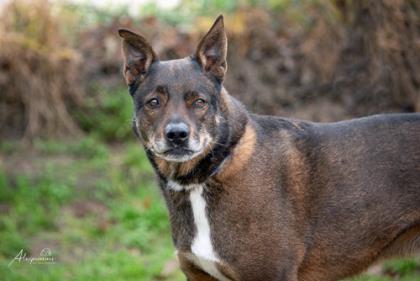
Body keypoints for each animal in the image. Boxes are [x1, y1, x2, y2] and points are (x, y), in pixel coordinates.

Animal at [118, 15, 420, 280]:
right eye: (154, 102)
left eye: (199, 102)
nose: (177, 135)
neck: (206, 176)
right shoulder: (199, 275)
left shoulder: (271, 274)